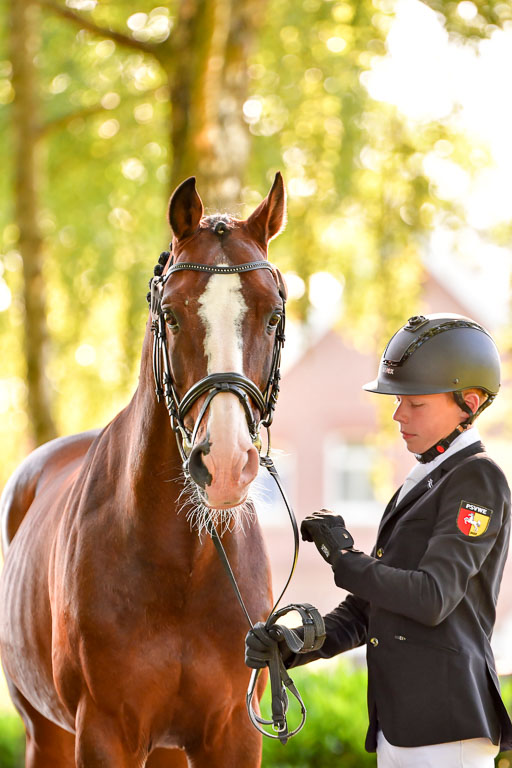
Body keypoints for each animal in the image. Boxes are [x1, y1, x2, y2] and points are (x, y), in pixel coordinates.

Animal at [0, 173, 288, 767]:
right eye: (171, 314)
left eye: (272, 314)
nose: (225, 463)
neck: (184, 562)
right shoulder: (104, 730)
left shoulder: (233, 732)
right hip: (46, 731)